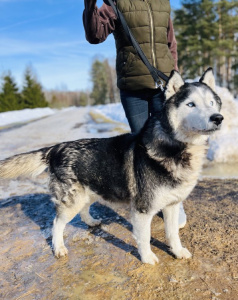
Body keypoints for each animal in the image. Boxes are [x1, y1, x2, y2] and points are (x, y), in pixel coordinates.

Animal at [0, 68, 223, 264]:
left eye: (212, 103)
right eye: (191, 104)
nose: (218, 118)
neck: (174, 147)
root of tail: (56, 148)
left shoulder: (172, 206)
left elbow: (173, 233)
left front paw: (177, 251)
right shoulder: (142, 210)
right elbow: (144, 238)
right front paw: (147, 258)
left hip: (90, 191)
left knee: (83, 210)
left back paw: (91, 222)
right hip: (72, 201)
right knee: (56, 224)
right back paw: (59, 248)